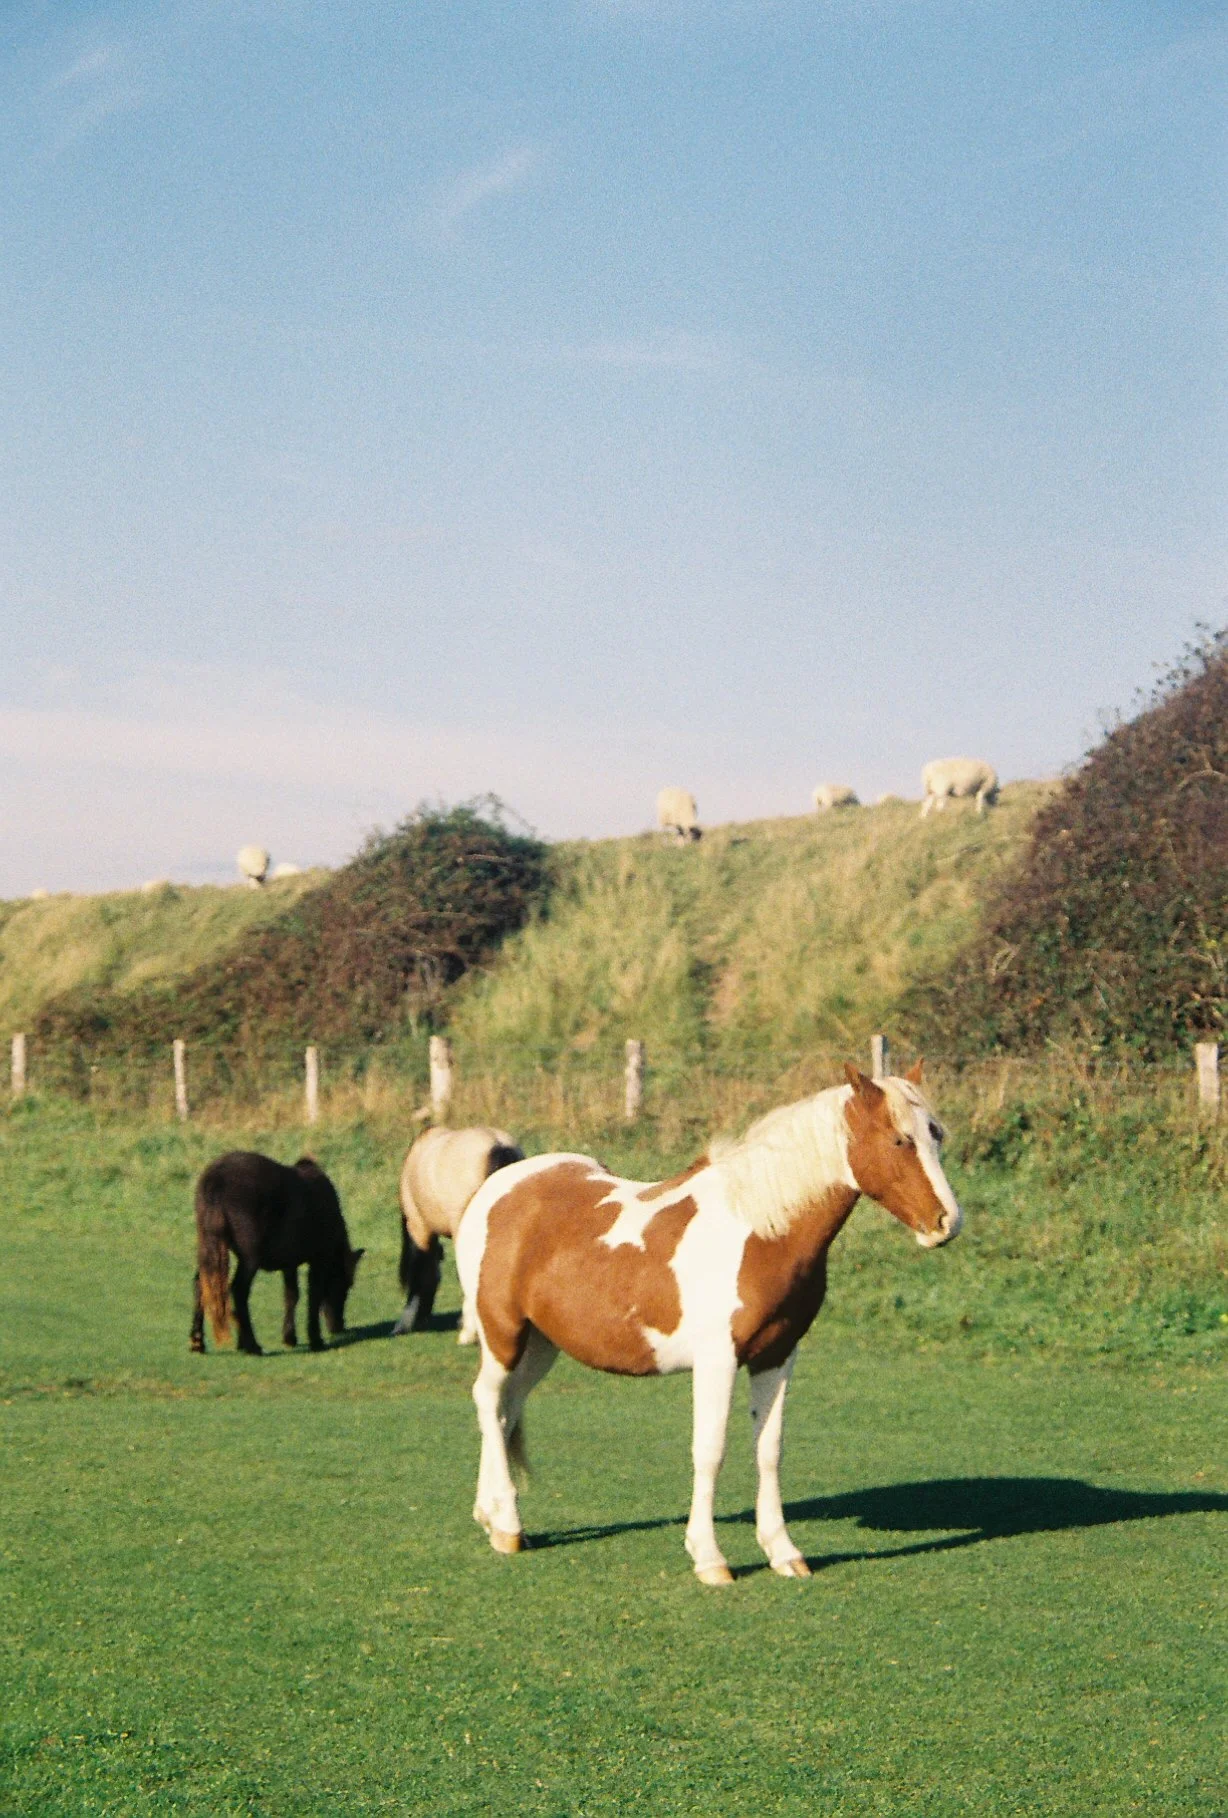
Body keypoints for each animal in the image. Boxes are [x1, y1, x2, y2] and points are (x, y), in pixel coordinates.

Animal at [190, 1152, 364, 1356]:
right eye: (345, 1284)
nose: (338, 1326)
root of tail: (215, 1179)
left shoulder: (289, 1263)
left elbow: (291, 1296)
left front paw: (290, 1337)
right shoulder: (319, 1259)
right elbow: (314, 1294)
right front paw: (315, 1339)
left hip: (210, 1247)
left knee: (201, 1284)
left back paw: (198, 1341)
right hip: (249, 1258)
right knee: (239, 1290)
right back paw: (252, 1345)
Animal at [454, 1062, 961, 1585]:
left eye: (937, 1135)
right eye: (900, 1140)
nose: (946, 1222)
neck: (759, 1231)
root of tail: (496, 1188)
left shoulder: (777, 1356)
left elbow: (769, 1450)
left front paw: (783, 1551)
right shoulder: (717, 1360)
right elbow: (710, 1450)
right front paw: (709, 1558)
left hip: (541, 1345)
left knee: (506, 1408)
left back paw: (490, 1514)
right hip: (503, 1334)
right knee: (488, 1400)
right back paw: (507, 1527)